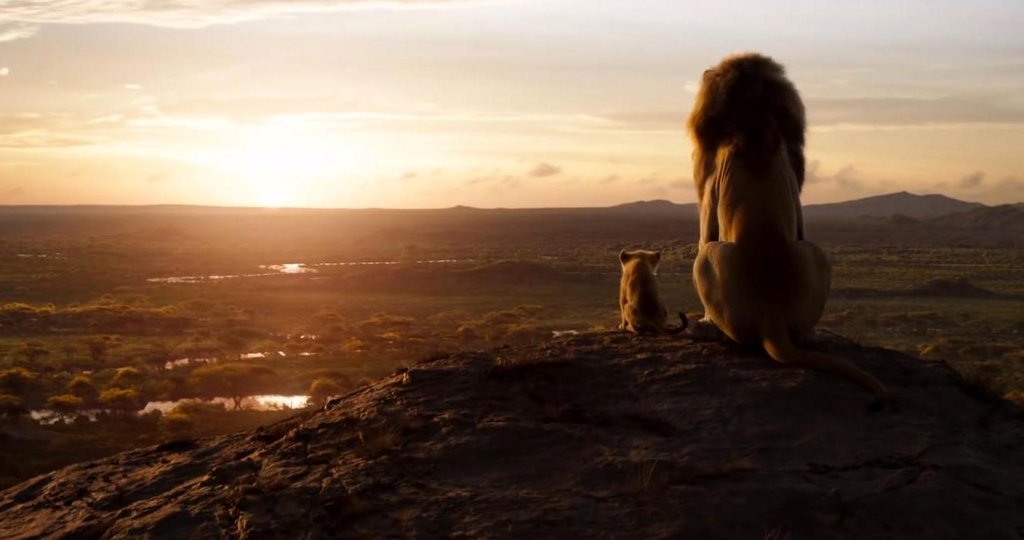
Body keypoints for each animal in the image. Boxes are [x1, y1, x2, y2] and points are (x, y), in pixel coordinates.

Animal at [686, 53, 885, 394]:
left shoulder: (710, 189)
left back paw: (706, 330)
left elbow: (704, 229)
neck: (754, 119)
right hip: (815, 251)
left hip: (709, 257)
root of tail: (773, 317)